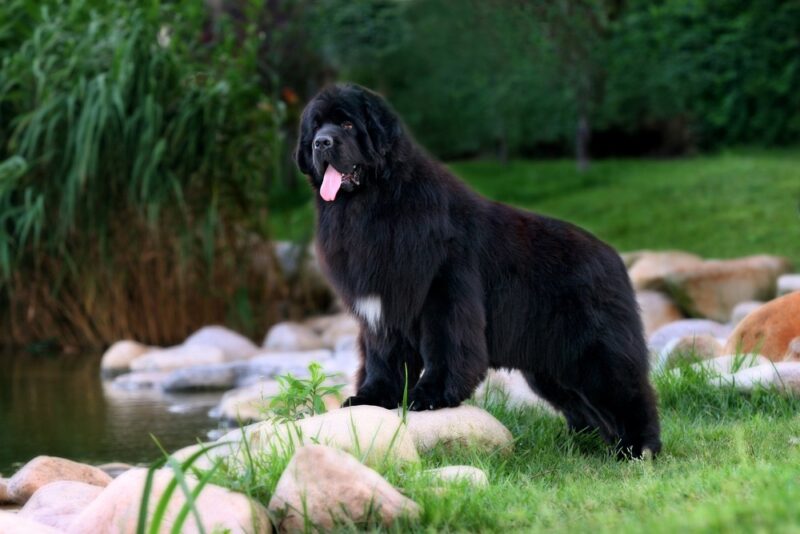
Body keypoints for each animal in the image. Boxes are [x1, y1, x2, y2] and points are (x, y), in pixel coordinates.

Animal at [294, 85, 664, 460]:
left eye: (347, 124)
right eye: (316, 126)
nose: (322, 143)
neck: (374, 205)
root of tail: (613, 257)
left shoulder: (444, 292)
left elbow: (445, 348)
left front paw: (429, 397)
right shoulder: (381, 308)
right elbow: (382, 358)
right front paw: (370, 398)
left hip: (595, 352)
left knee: (629, 394)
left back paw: (639, 450)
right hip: (551, 368)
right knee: (584, 407)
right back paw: (587, 447)